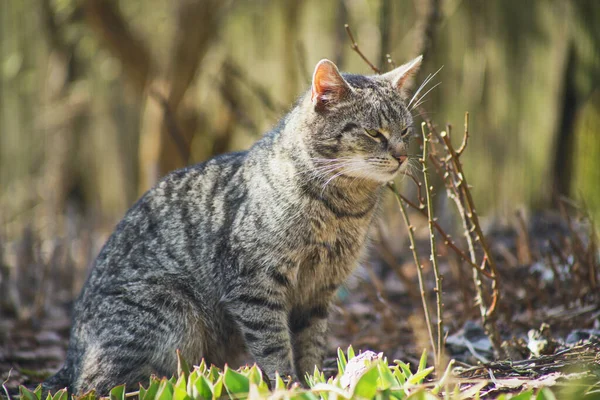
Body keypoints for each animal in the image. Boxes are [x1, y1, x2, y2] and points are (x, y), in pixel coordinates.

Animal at [42, 54, 422, 396]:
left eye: (405, 131)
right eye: (374, 132)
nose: (402, 155)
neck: (344, 209)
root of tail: (71, 356)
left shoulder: (319, 291)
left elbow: (310, 344)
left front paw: (315, 384)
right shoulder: (254, 283)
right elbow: (273, 345)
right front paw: (289, 386)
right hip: (169, 309)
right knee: (96, 387)